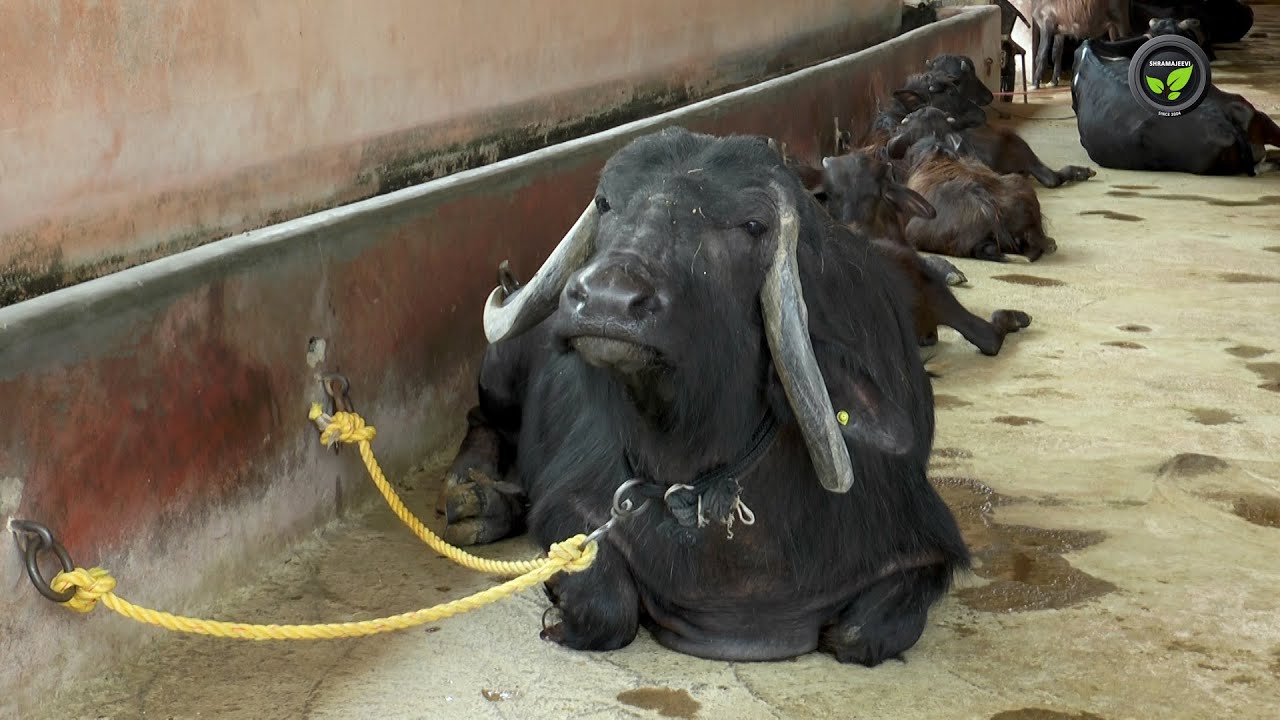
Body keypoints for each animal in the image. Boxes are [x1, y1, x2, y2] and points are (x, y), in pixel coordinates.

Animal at [438, 126, 971, 666]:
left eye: (752, 224)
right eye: (606, 202)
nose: (607, 300)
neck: (692, 474)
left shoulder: (920, 544)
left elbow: (857, 634)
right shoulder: (571, 505)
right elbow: (605, 605)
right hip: (499, 373)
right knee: (481, 419)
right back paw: (475, 495)